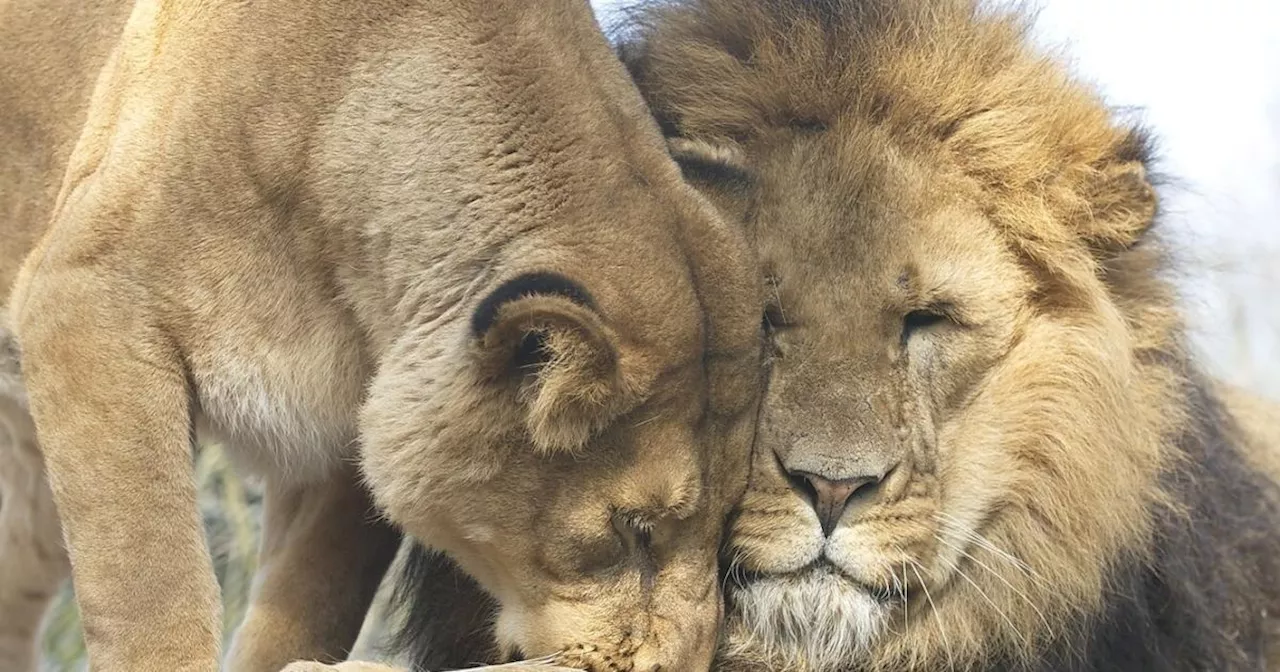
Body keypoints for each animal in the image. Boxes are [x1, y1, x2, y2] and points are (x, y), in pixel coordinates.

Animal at [0, 1, 757, 670]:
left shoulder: (335, 445)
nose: (685, 665)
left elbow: (308, 605)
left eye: (726, 524)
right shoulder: (84, 299)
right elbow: (150, 587)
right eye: (633, 529)